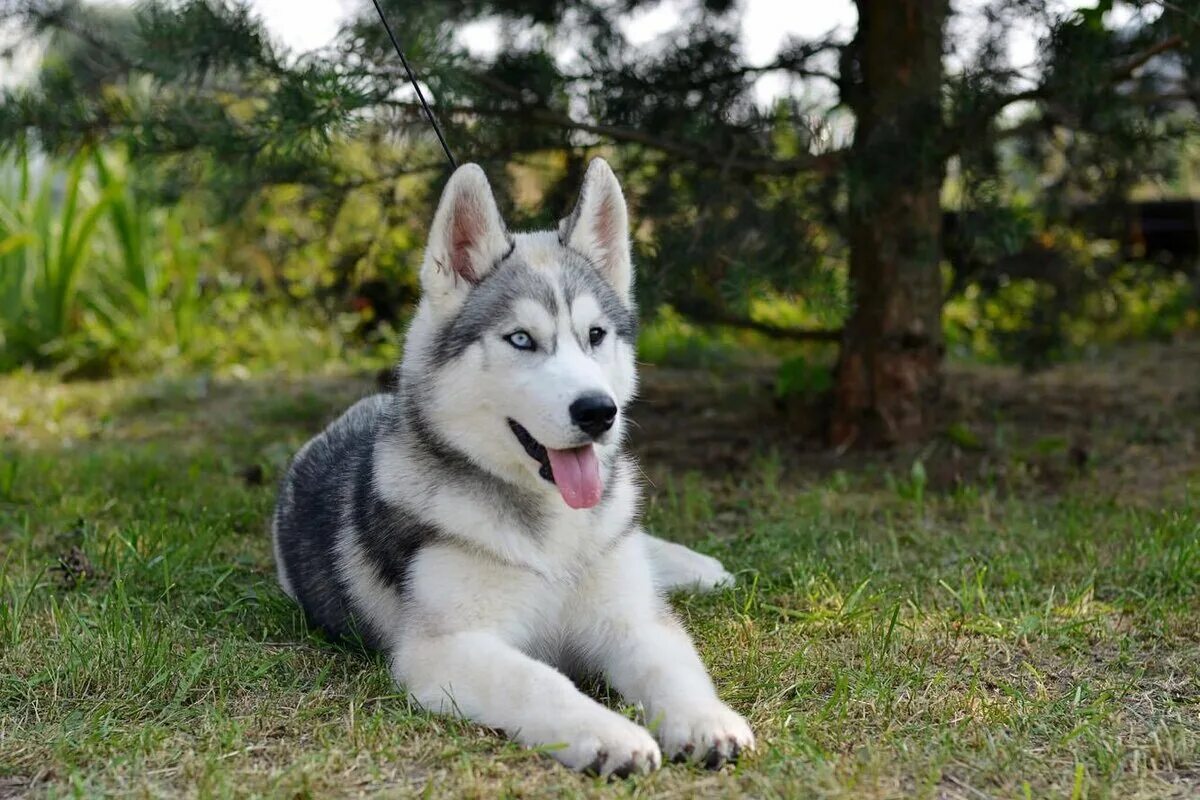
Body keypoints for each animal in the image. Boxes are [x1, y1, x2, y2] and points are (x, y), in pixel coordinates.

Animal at [276, 159, 753, 777]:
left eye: (595, 335)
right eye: (522, 339)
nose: (599, 412)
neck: (552, 535)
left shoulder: (633, 620)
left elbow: (670, 667)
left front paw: (704, 720)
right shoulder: (447, 647)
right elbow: (542, 683)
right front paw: (608, 735)